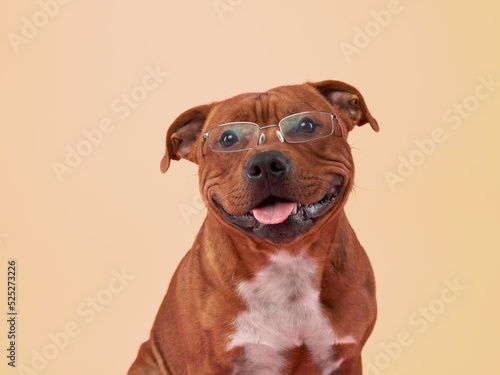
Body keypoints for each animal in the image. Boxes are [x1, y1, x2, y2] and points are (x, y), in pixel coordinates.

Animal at [128, 78, 378, 374]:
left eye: (306, 125)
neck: (286, 261)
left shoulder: (348, 356)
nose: (265, 162)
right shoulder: (209, 364)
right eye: (228, 139)